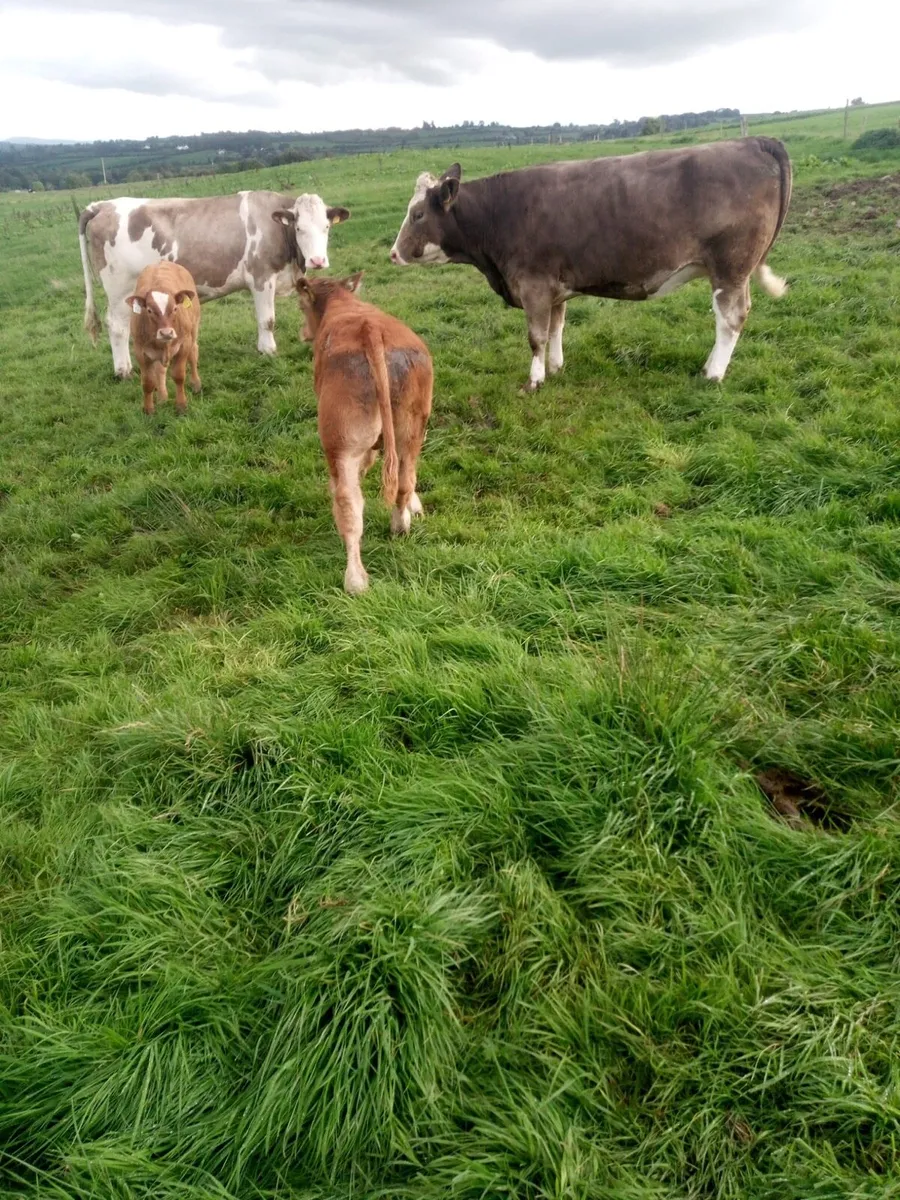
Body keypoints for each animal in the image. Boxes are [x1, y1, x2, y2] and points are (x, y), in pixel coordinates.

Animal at [77, 190, 350, 378]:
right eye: (299, 228)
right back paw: (123, 370)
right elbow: (268, 320)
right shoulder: (261, 277)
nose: (318, 260)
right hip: (119, 288)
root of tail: (102, 205)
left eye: (326, 227)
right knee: (117, 326)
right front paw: (268, 350)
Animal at [126, 261, 201, 415]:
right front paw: (148, 409)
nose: (166, 333)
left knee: (193, 353)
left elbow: (179, 376)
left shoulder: (184, 344)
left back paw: (196, 383)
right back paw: (162, 397)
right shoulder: (140, 351)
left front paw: (181, 405)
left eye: (175, 308)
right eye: (149, 310)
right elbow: (148, 382)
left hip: (194, 329)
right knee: (160, 370)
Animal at [295, 273, 433, 595]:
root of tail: (371, 330)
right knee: (406, 479)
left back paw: (355, 579)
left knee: (349, 504)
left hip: (341, 444)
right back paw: (401, 524)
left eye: (300, 306)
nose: (301, 333)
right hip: (412, 428)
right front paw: (415, 508)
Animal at [390, 138, 792, 390]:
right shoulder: (554, 288)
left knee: (730, 319)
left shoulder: (533, 285)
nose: (392, 253)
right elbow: (556, 329)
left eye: (418, 213)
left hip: (730, 268)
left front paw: (535, 379)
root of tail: (753, 141)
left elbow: (536, 336)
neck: (498, 214)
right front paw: (555, 367)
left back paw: (712, 374)